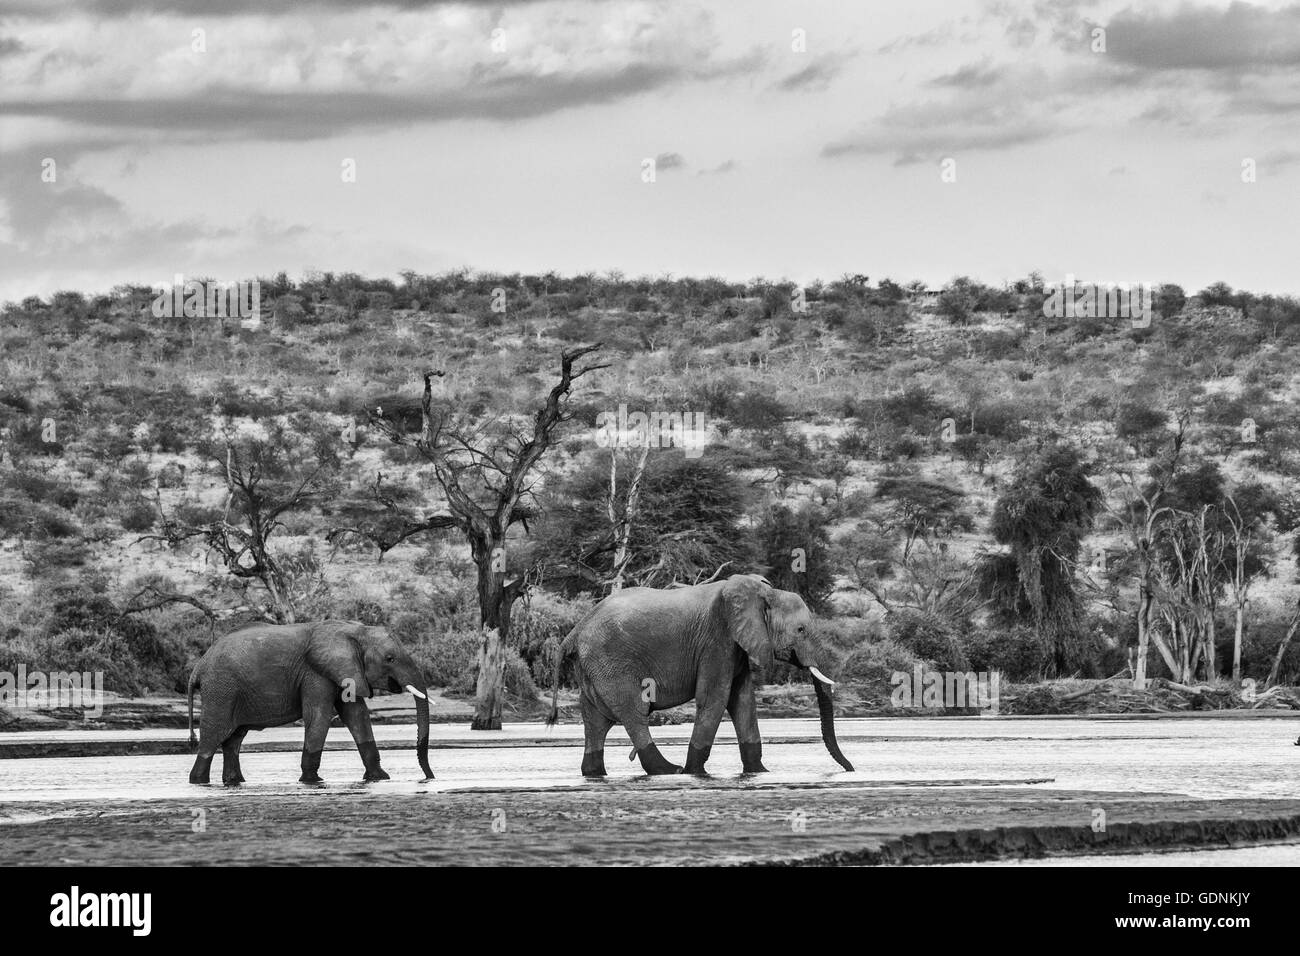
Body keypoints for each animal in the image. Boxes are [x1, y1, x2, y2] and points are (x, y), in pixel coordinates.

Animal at [185, 621, 436, 785]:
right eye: (389, 659)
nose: (428, 777)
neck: (355, 631)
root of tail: (198, 667)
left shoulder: (346, 670)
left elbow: (357, 715)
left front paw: (380, 778)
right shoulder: (315, 673)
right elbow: (319, 715)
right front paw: (311, 780)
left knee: (233, 740)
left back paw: (234, 781)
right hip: (221, 690)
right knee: (212, 737)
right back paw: (198, 781)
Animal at [548, 574, 852, 780]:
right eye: (801, 630)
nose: (850, 768)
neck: (762, 592)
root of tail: (574, 631)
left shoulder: (737, 645)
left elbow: (743, 701)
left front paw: (761, 773)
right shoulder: (717, 639)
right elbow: (714, 699)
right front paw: (694, 772)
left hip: (593, 669)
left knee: (596, 722)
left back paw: (595, 772)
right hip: (611, 664)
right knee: (634, 714)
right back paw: (671, 770)